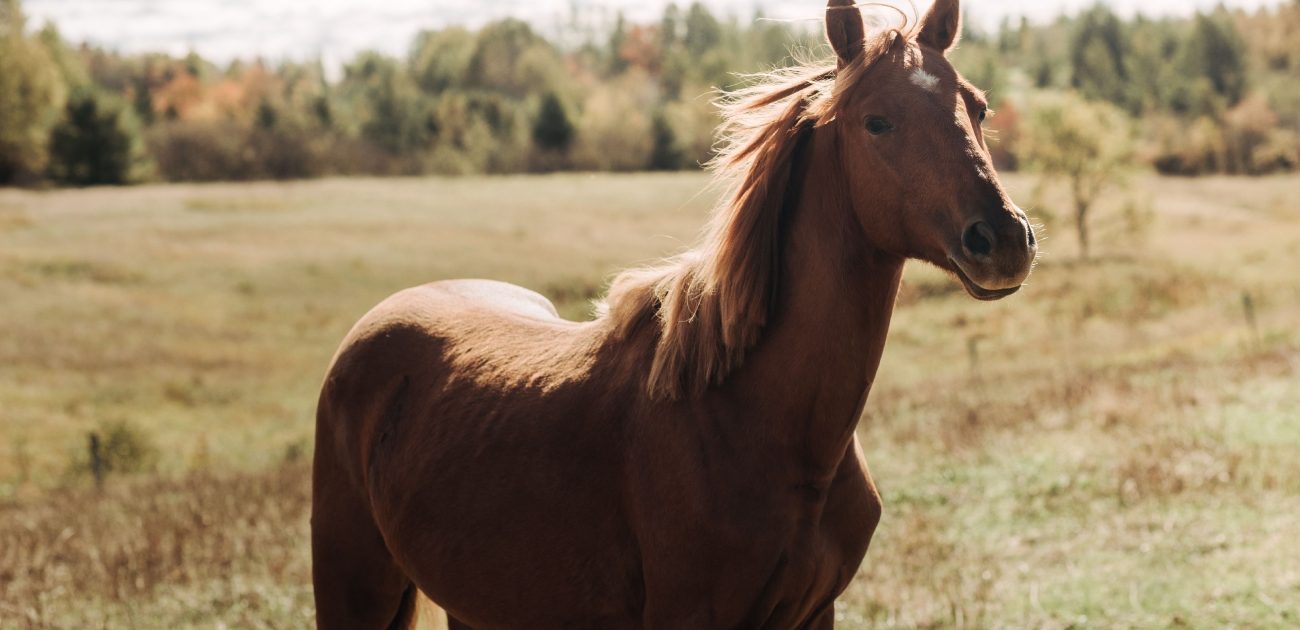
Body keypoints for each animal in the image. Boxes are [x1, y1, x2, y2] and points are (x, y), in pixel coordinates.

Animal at [309, 1, 1040, 623]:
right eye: (877, 121)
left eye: (976, 107)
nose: (1002, 240)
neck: (747, 410)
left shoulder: (814, 613)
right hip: (353, 588)